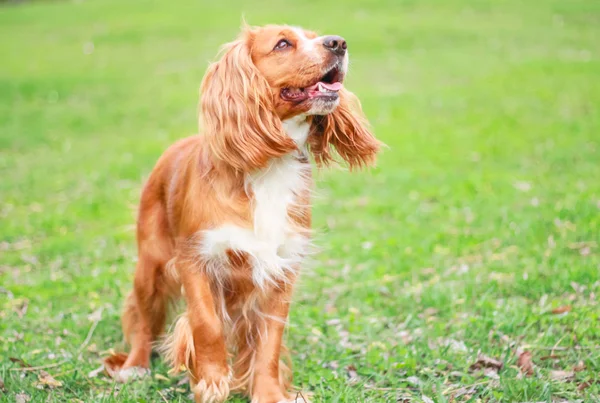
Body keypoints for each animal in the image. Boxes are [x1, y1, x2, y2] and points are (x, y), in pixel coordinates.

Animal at [106, 23, 380, 402]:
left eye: (317, 35)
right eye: (283, 44)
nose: (338, 43)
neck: (268, 168)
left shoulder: (281, 269)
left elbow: (269, 344)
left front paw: (268, 393)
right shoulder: (195, 259)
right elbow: (206, 324)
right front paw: (212, 382)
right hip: (151, 263)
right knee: (143, 316)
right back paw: (135, 366)